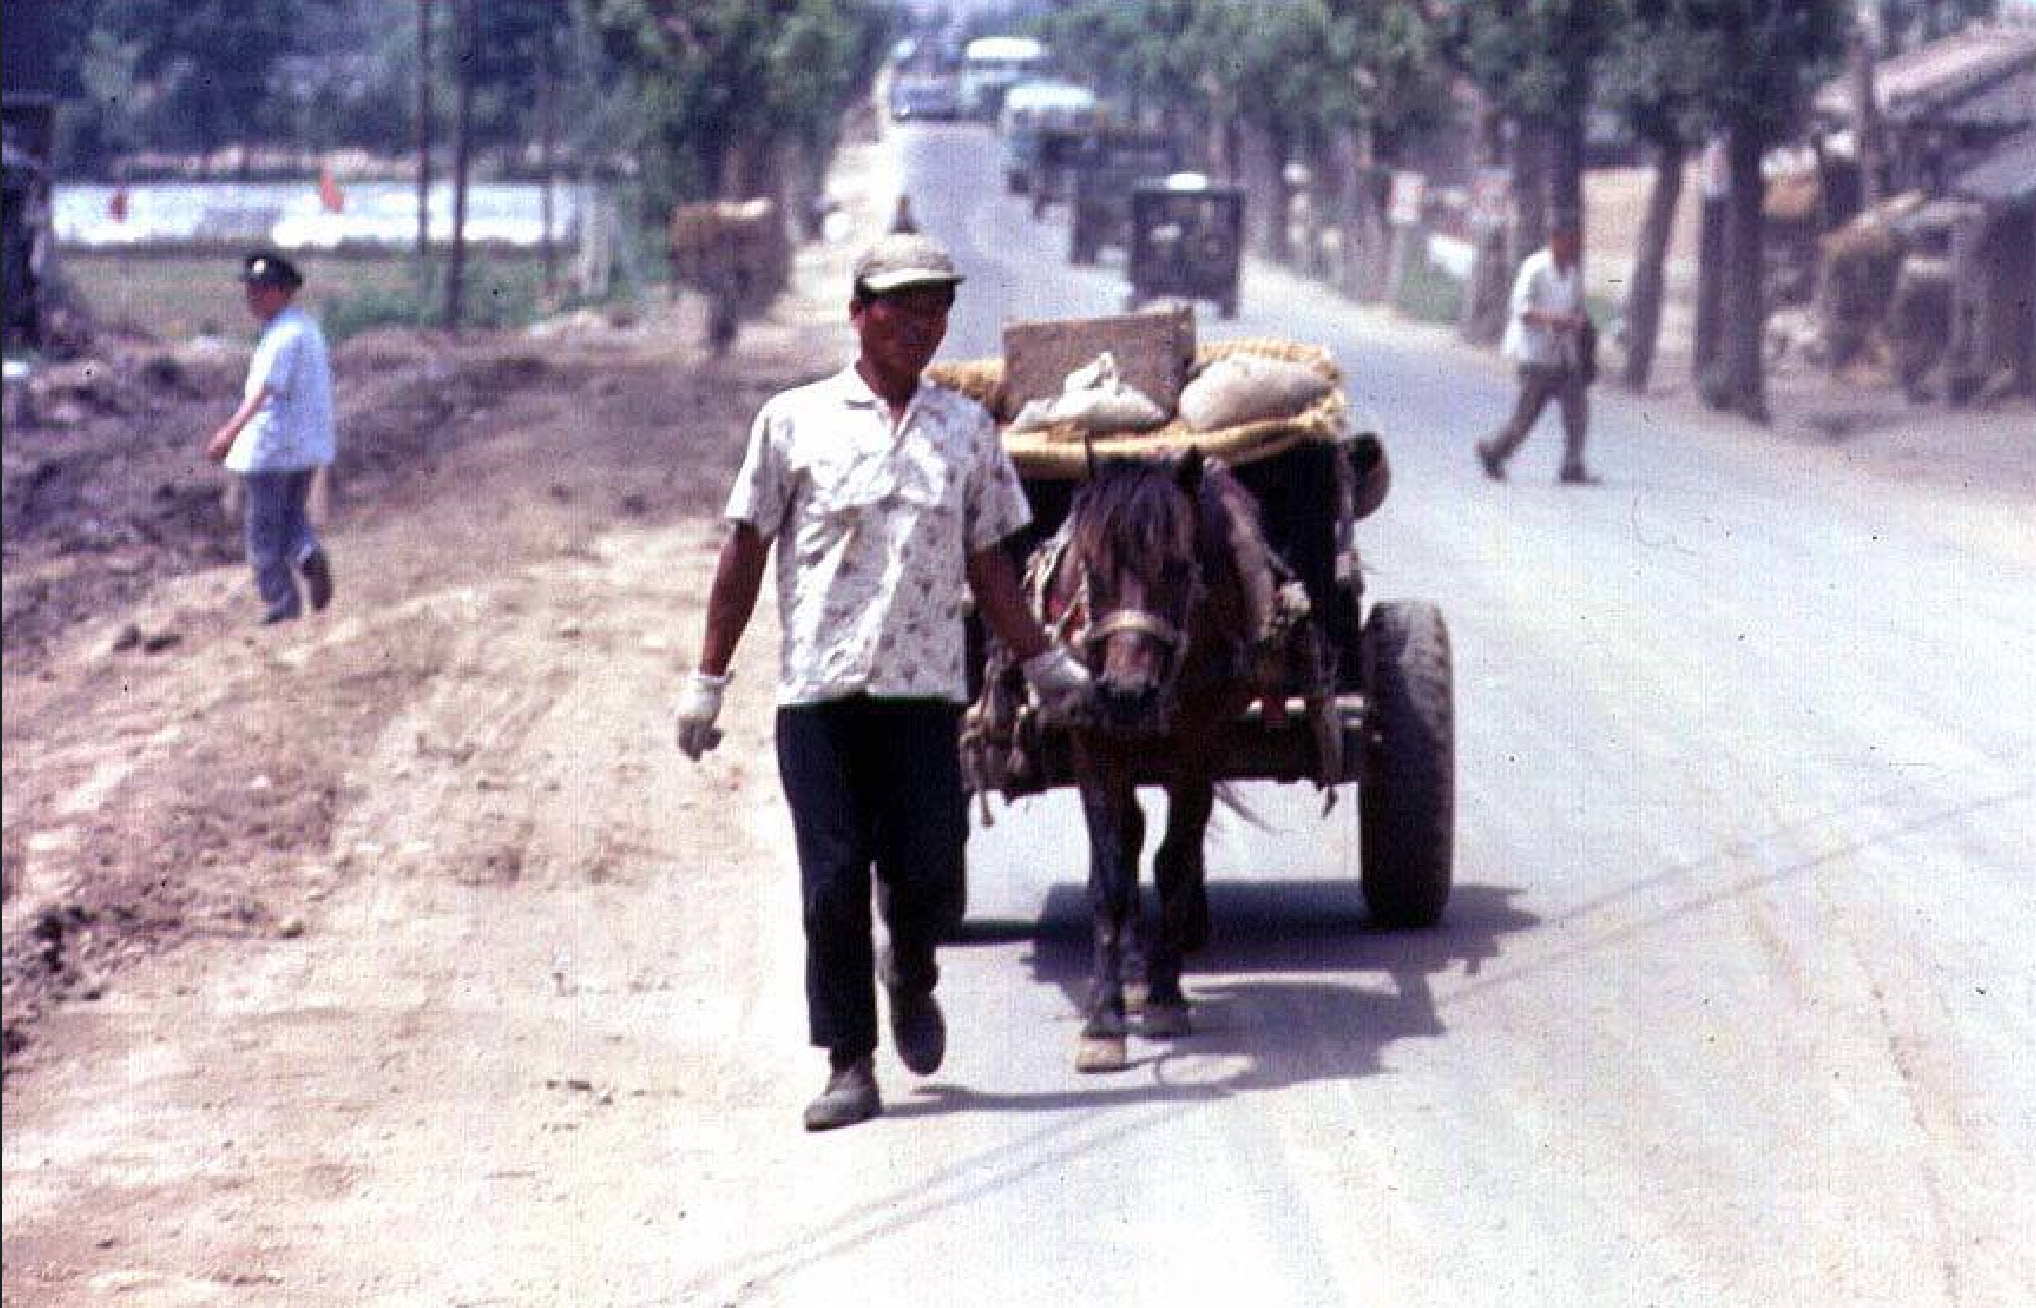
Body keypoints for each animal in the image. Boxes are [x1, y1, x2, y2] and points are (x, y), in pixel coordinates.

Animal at [1030, 447, 1323, 1072]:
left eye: (1180, 568)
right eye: (1093, 570)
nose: (1128, 692)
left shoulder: (1198, 749)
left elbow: (1173, 863)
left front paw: (1166, 999)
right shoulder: (1094, 745)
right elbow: (1112, 880)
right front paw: (1104, 1020)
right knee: (1128, 837)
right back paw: (1133, 967)